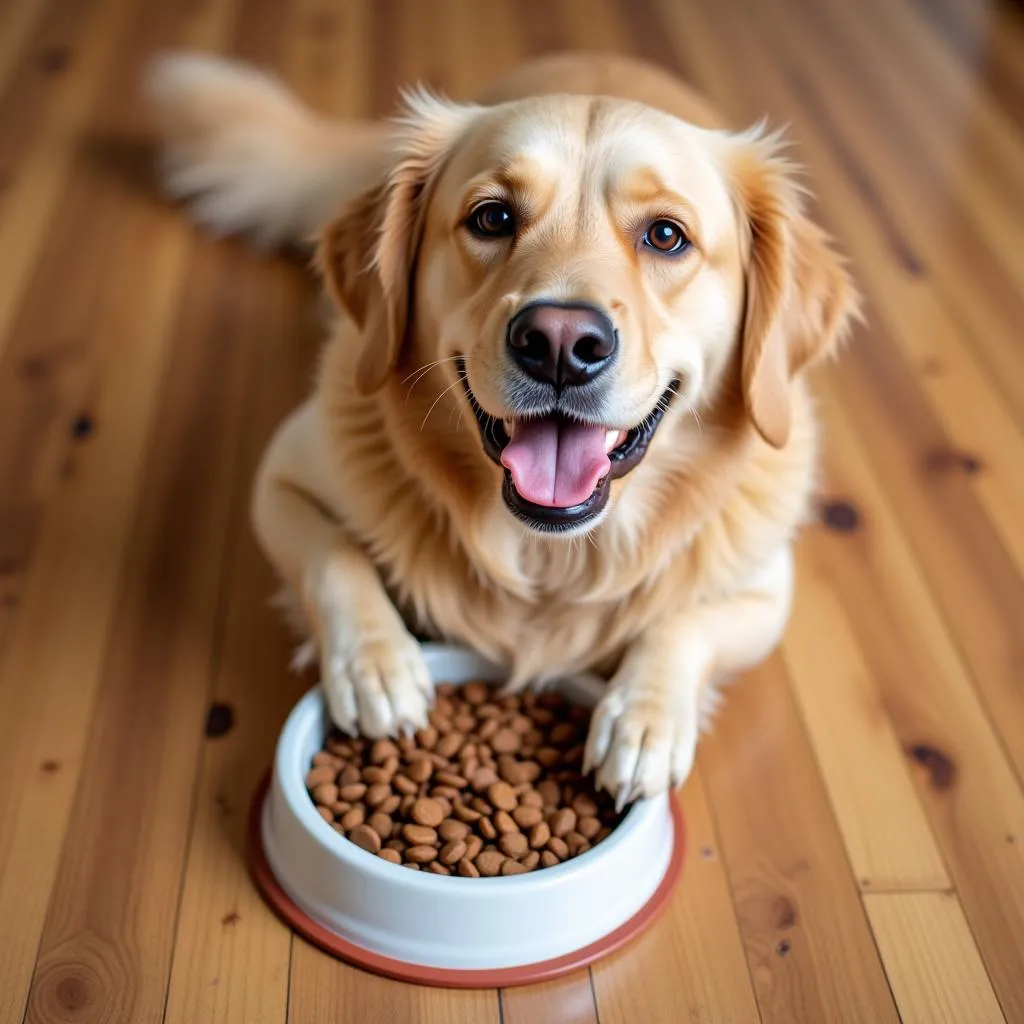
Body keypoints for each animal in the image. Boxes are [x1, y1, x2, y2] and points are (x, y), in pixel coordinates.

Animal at [148, 49, 860, 806]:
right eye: (492, 218)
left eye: (667, 236)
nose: (560, 343)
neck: (551, 551)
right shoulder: (282, 478)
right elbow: (332, 558)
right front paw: (377, 665)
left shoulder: (764, 585)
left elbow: (684, 623)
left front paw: (643, 720)